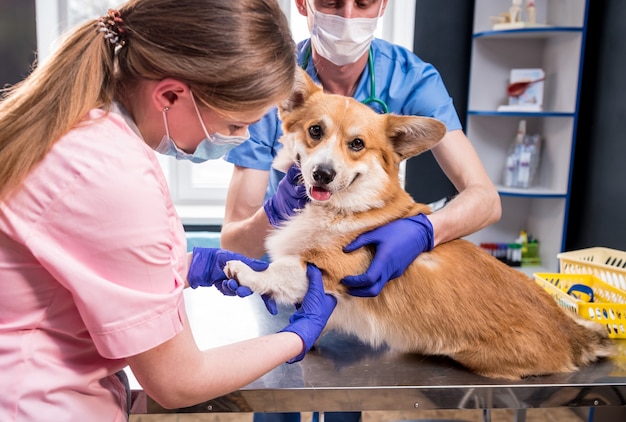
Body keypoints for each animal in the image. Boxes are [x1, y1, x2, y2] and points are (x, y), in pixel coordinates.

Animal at [222, 69, 612, 380]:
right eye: (315, 130)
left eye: (357, 144)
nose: (322, 174)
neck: (344, 209)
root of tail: (571, 332)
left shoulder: (331, 270)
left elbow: (280, 270)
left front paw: (245, 271)